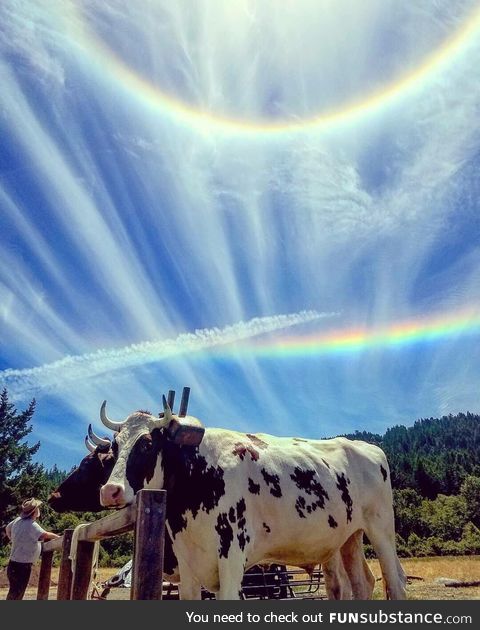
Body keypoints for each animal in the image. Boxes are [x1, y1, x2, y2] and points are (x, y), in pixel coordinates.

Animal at [100, 400, 402, 604]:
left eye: (147, 444)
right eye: (114, 447)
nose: (110, 490)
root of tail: (365, 446)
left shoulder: (232, 556)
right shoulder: (189, 565)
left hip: (381, 529)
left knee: (395, 580)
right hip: (349, 537)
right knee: (362, 583)